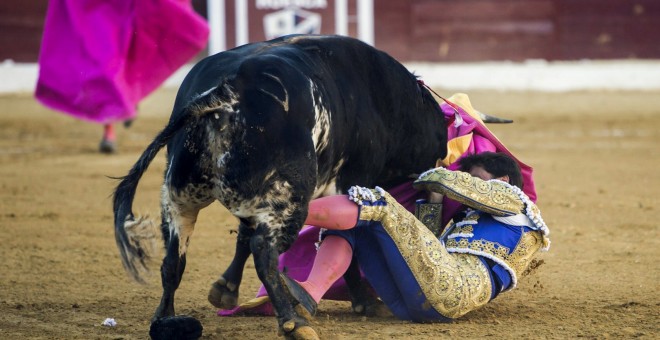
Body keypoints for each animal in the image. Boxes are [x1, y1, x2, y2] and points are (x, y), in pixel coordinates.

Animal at [114, 35, 448, 340]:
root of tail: (228, 90)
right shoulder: (350, 182)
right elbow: (344, 239)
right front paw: (365, 301)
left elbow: (242, 237)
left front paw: (225, 289)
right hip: (288, 201)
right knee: (264, 251)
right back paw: (293, 322)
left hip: (179, 197)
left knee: (174, 260)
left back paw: (165, 318)